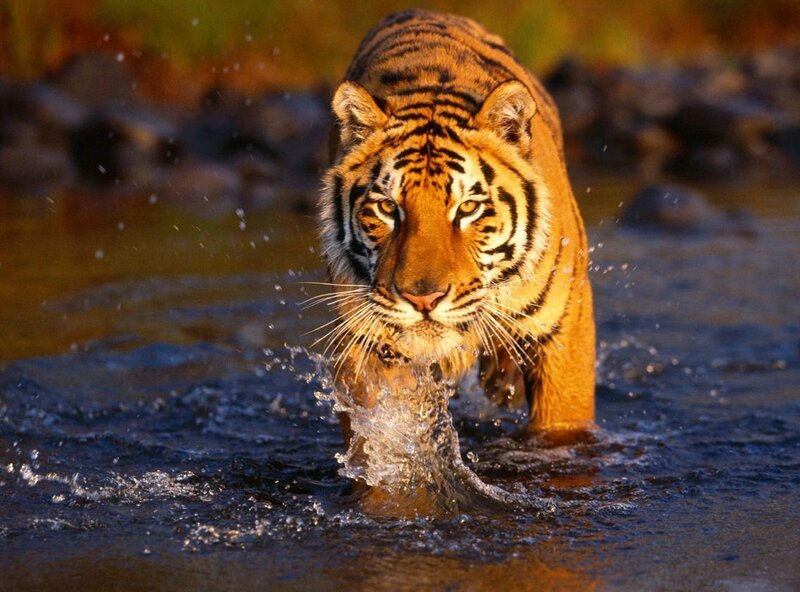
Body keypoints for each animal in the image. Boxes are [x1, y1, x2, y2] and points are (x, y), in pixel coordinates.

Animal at [317, 9, 595, 450]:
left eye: (467, 208)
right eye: (387, 207)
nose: (423, 300)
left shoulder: (565, 329)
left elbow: (562, 425)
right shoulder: (367, 343)